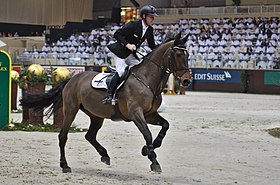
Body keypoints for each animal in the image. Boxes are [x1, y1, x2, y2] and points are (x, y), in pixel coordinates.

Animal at [20, 32, 194, 173]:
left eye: (188, 55)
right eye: (178, 54)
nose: (186, 80)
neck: (147, 80)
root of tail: (73, 78)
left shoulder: (150, 114)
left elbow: (165, 126)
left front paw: (147, 150)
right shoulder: (136, 113)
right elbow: (147, 133)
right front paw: (153, 160)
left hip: (96, 115)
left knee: (90, 135)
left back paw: (104, 155)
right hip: (70, 109)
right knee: (63, 136)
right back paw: (65, 165)